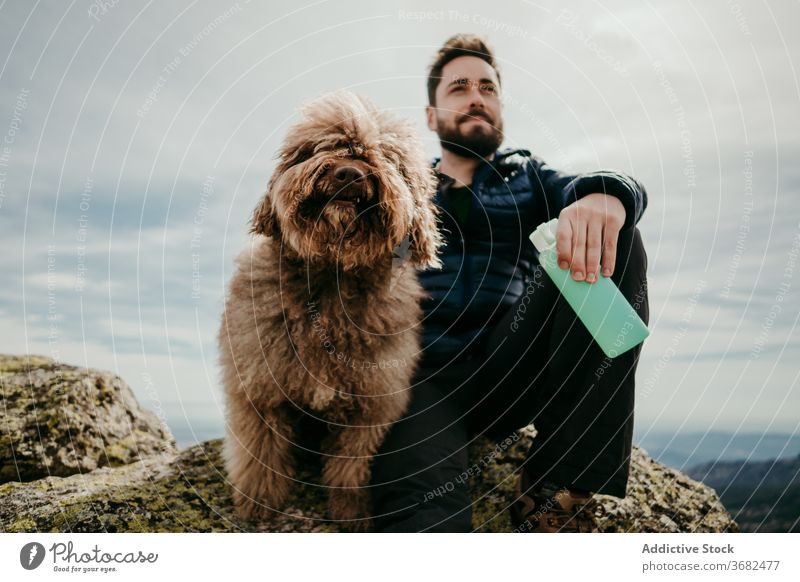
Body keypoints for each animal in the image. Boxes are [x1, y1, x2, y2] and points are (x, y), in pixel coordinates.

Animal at [219, 90, 444, 532]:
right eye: (322, 148)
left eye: (385, 156)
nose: (349, 174)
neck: (331, 281)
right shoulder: (260, 388)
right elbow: (261, 452)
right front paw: (260, 502)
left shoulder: (370, 403)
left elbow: (350, 465)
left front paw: (349, 511)